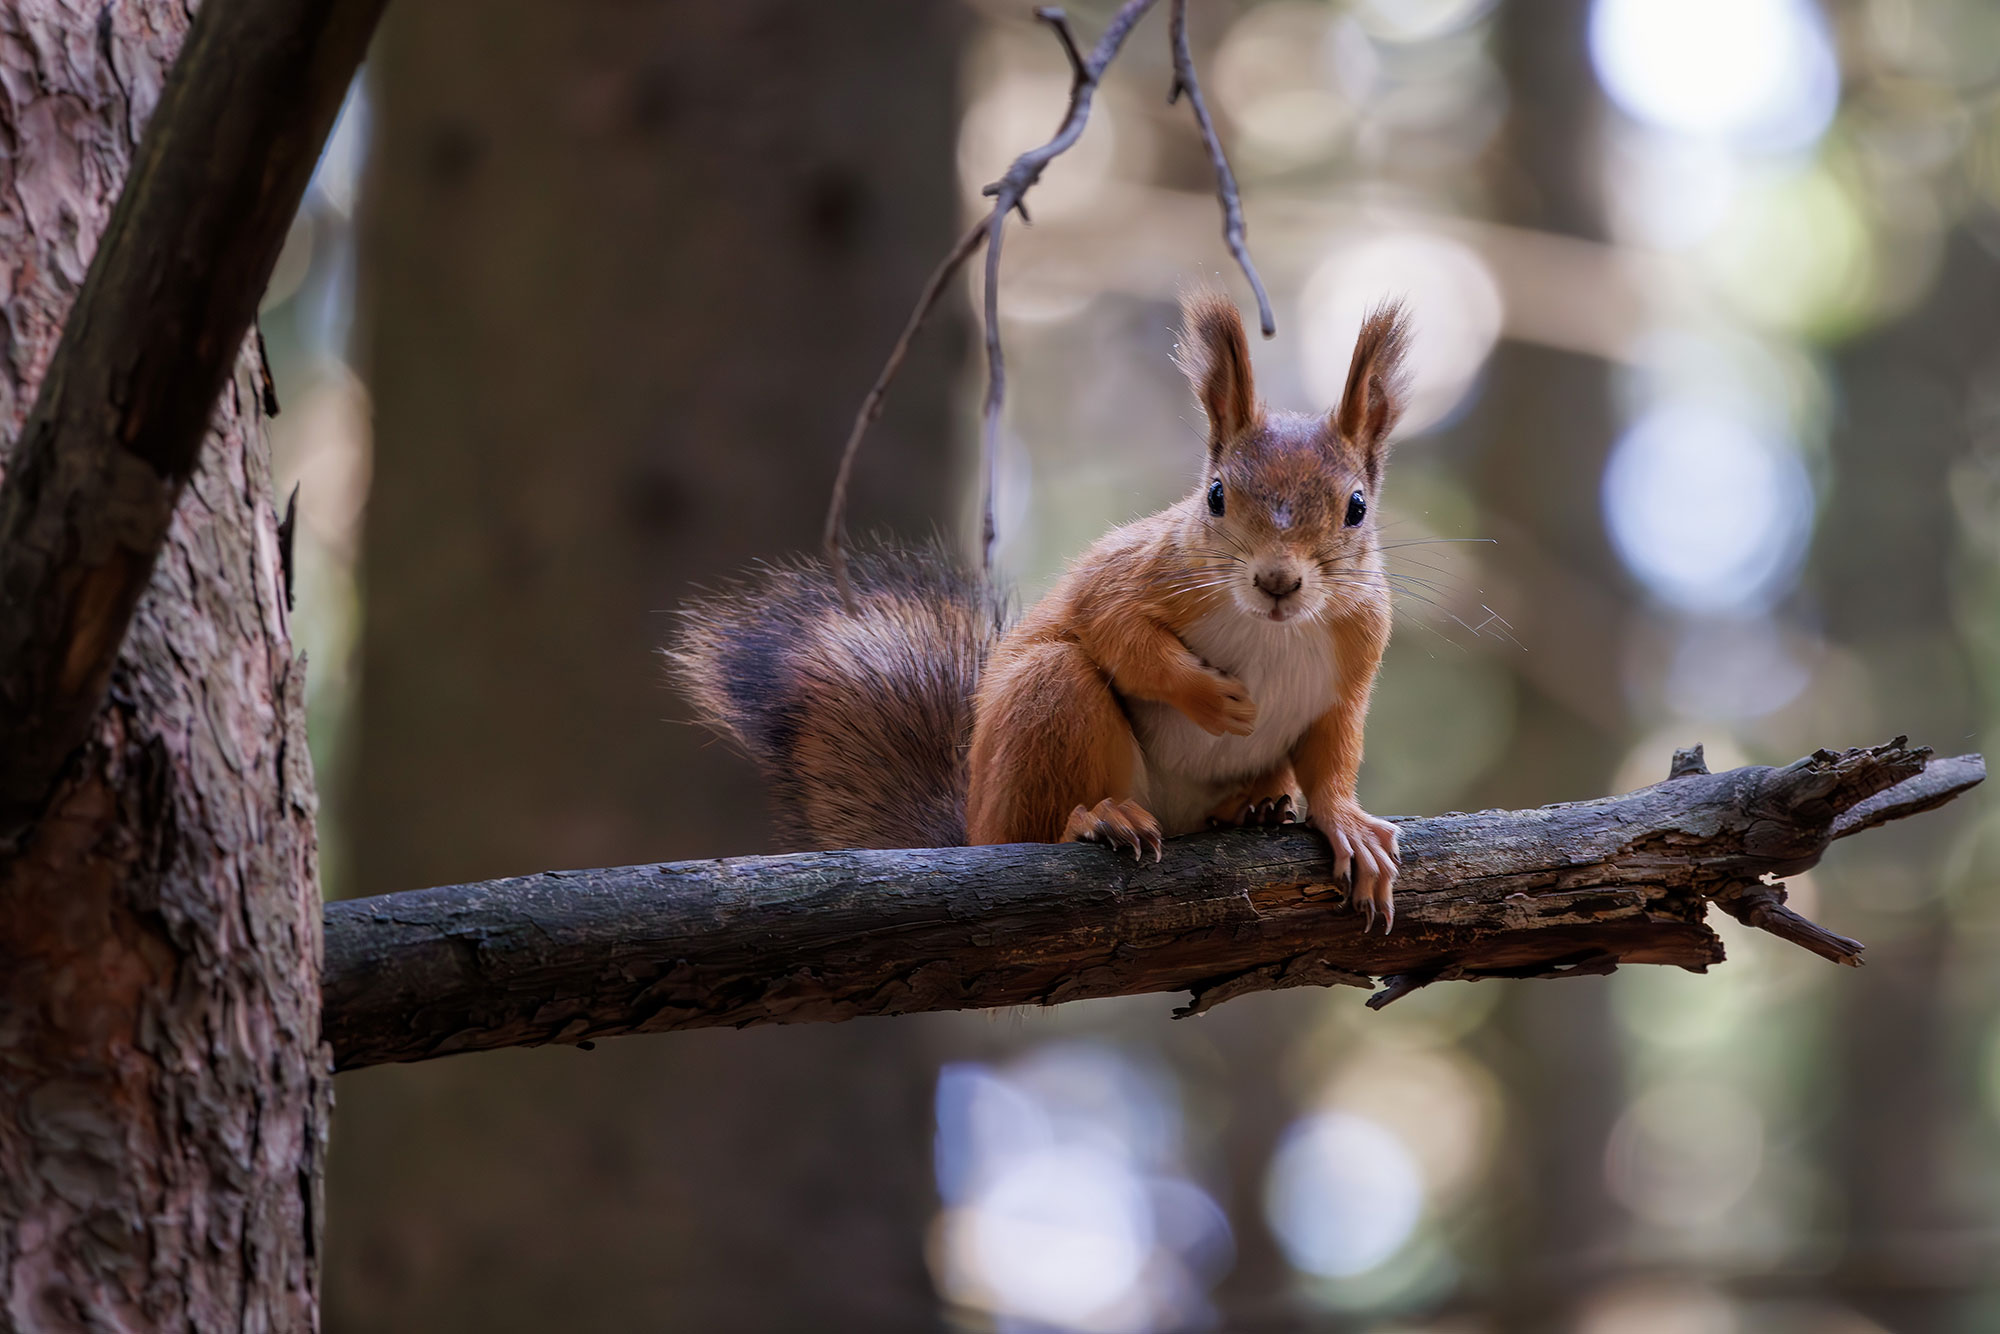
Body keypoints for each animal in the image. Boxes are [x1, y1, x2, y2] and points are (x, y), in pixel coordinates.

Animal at [680, 292, 1416, 936]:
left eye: (1356, 507)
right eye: (1214, 497)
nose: (1277, 582)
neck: (1271, 629)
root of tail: (972, 830)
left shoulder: (1355, 656)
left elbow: (1334, 753)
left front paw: (1347, 824)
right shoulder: (1137, 572)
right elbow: (1115, 630)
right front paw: (1212, 698)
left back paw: (1253, 808)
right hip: (1048, 706)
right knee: (1036, 818)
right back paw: (1094, 822)